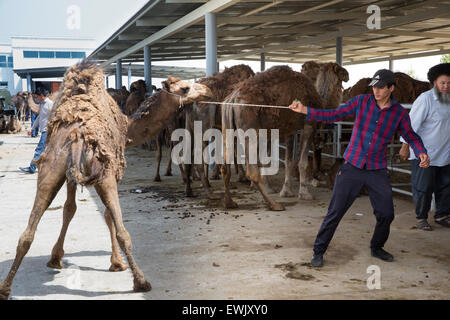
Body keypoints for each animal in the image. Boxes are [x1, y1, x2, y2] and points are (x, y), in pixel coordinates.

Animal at [0, 60, 213, 300]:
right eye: (185, 88)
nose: (207, 89)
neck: (127, 127)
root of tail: (78, 137)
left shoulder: (70, 176)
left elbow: (69, 209)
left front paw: (56, 257)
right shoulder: (114, 170)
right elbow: (106, 215)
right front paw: (116, 263)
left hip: (50, 169)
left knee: (27, 234)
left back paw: (5, 287)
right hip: (104, 175)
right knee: (122, 231)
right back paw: (141, 281)